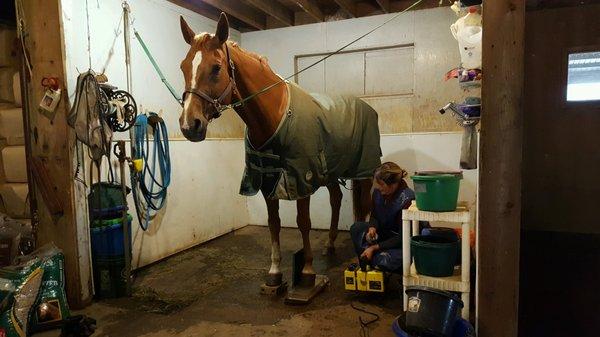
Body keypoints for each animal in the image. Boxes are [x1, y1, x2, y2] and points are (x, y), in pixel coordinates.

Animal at [176, 13, 380, 290]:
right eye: (183, 66)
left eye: (216, 67)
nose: (189, 125)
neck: (273, 115)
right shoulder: (266, 178)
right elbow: (274, 223)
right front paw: (274, 273)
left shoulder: (301, 177)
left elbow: (303, 222)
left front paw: (307, 271)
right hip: (329, 174)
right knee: (336, 199)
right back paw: (329, 244)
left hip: (364, 171)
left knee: (366, 203)